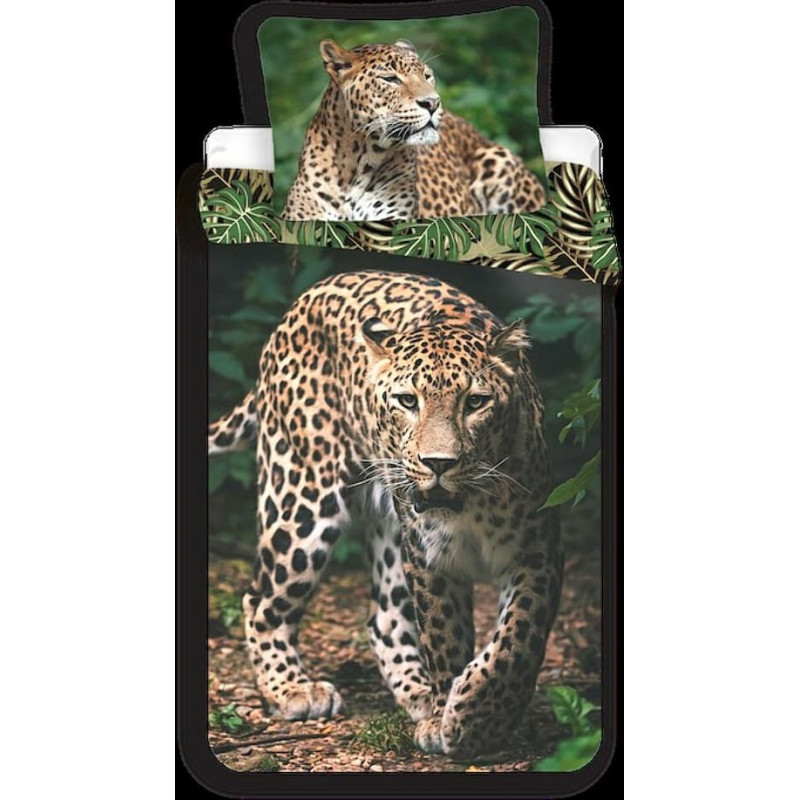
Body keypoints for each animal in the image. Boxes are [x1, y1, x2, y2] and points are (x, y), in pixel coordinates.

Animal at [208, 270, 563, 757]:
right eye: (407, 401)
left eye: (475, 402)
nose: (438, 463)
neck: (470, 505)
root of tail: (300, 302)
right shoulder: (429, 559)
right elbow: (445, 638)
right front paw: (454, 719)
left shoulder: (537, 550)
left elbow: (517, 640)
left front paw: (477, 716)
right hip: (302, 498)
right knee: (261, 599)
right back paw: (292, 689)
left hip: (389, 530)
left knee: (385, 619)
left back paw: (418, 694)